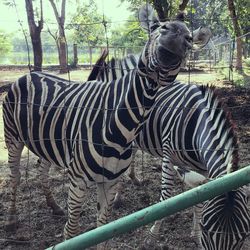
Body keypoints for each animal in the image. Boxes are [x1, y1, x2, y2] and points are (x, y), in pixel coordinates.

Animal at [2, 4, 195, 248]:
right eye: (154, 28)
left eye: (189, 37)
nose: (178, 33)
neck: (123, 127)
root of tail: (29, 74)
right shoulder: (78, 180)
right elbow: (72, 232)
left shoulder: (109, 182)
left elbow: (103, 228)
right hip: (12, 138)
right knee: (15, 176)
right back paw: (11, 219)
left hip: (46, 142)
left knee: (41, 169)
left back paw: (54, 206)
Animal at [89, 54, 249, 248]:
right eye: (206, 229)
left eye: (244, 236)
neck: (196, 125)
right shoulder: (168, 158)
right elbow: (165, 198)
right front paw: (152, 236)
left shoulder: (202, 169)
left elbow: (199, 199)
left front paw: (195, 235)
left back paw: (131, 181)